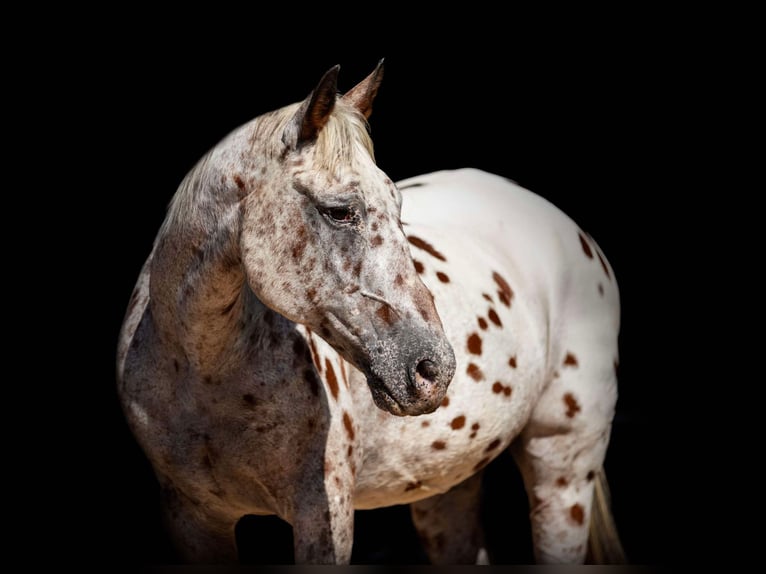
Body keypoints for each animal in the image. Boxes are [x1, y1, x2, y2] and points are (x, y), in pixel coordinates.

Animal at [116, 60, 626, 565]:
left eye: (398, 206)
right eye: (339, 211)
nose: (433, 370)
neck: (203, 371)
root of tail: (570, 229)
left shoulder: (325, 514)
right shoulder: (192, 520)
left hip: (562, 477)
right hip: (447, 489)